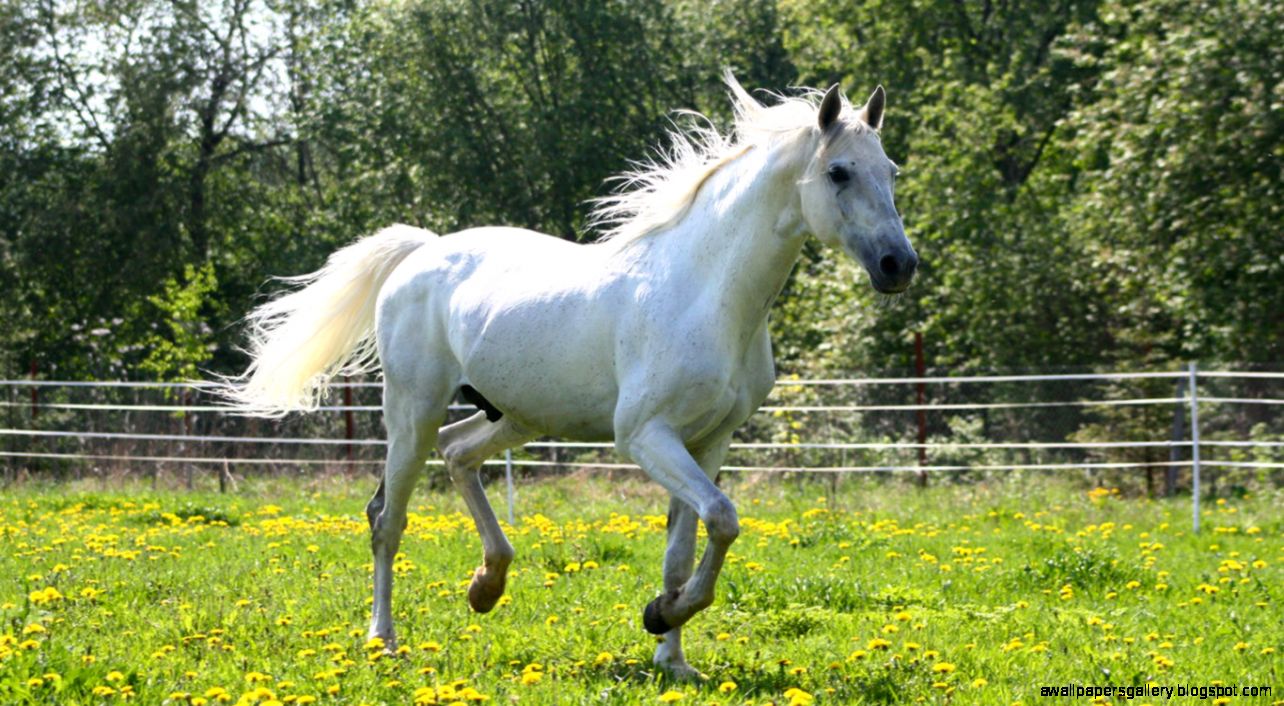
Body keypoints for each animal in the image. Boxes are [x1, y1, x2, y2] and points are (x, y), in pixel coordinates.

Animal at [223, 73, 916, 677]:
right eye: (839, 171)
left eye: (890, 172)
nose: (898, 265)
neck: (706, 292)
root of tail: (419, 254)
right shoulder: (645, 436)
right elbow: (723, 519)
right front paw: (660, 616)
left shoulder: (708, 440)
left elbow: (684, 548)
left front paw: (671, 655)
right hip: (412, 410)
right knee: (387, 519)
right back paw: (383, 639)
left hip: (516, 414)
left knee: (459, 454)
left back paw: (487, 585)